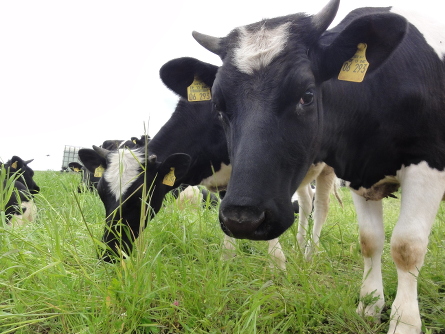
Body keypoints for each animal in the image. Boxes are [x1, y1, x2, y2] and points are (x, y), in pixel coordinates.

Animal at [191, 0, 444, 332]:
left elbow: (407, 246)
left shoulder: (428, 167)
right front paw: (369, 304)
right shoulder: (359, 176)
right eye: (218, 107)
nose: (242, 219)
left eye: (307, 95)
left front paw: (404, 323)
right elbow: (370, 241)